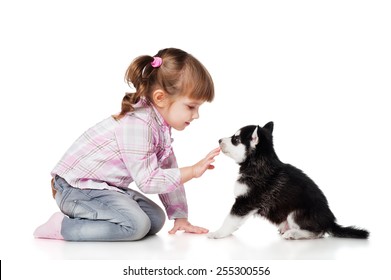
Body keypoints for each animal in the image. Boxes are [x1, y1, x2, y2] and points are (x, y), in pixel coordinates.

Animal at [208, 122, 370, 241]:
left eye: (235, 139)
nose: (219, 140)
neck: (259, 163)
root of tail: (330, 221)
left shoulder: (245, 201)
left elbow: (230, 219)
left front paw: (218, 233)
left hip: (296, 213)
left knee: (317, 232)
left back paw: (294, 234)